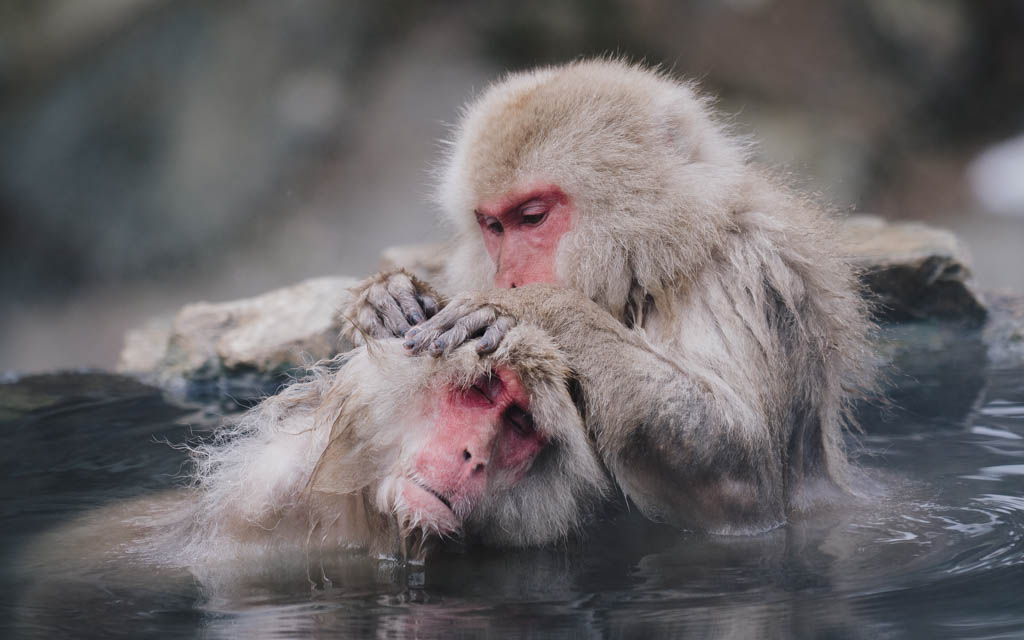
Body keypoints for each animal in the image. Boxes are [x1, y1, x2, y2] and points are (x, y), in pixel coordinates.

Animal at [346, 59, 876, 534]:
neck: (660, 259)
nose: (508, 279)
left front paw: (529, 308)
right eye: (493, 226)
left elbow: (742, 471)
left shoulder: (744, 271)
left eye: (532, 217)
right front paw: (388, 298)